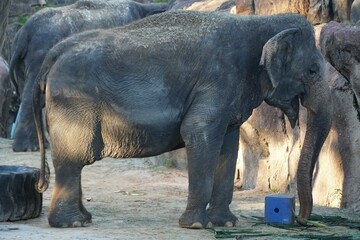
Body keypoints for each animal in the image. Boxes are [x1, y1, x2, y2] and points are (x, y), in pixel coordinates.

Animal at [33, 10, 332, 229]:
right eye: (312, 70)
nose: (301, 219)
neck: (259, 23)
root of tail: (53, 54)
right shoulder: (217, 80)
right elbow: (198, 132)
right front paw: (197, 226)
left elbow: (228, 142)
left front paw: (226, 224)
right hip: (72, 102)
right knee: (73, 159)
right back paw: (71, 224)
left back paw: (84, 219)